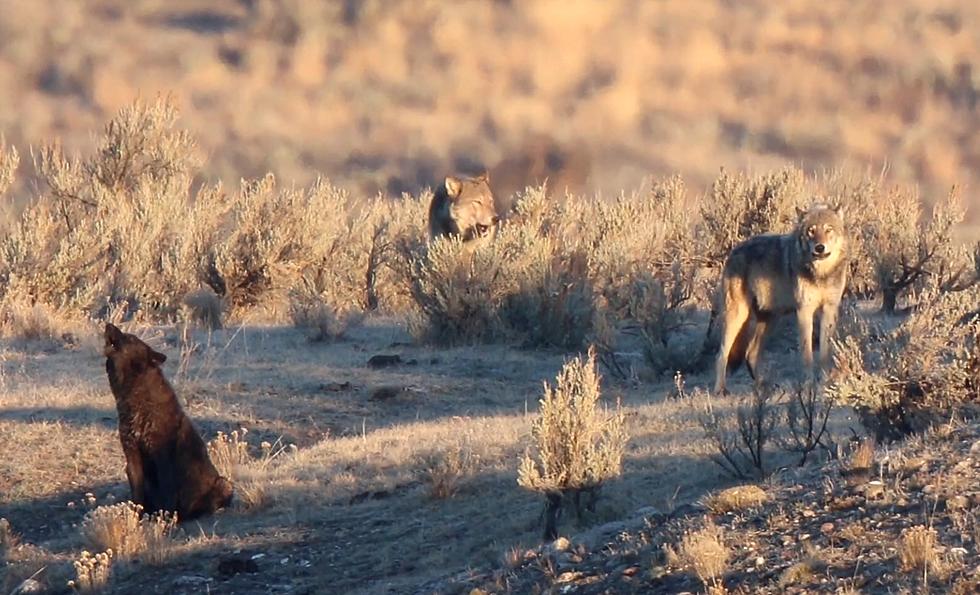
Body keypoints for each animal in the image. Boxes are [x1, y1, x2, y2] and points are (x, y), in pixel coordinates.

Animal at [103, 324, 234, 520]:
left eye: (130, 338)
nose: (108, 324)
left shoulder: (162, 459)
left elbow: (167, 497)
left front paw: (165, 519)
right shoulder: (132, 457)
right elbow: (137, 499)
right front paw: (136, 519)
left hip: (224, 483)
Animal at [712, 205, 848, 396]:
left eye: (829, 230)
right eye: (811, 231)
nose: (820, 247)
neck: (821, 274)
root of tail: (734, 250)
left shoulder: (830, 309)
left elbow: (824, 353)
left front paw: (824, 383)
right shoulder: (804, 311)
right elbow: (807, 354)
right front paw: (808, 385)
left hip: (771, 320)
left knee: (751, 353)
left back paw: (763, 387)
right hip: (738, 316)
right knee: (721, 354)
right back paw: (720, 389)